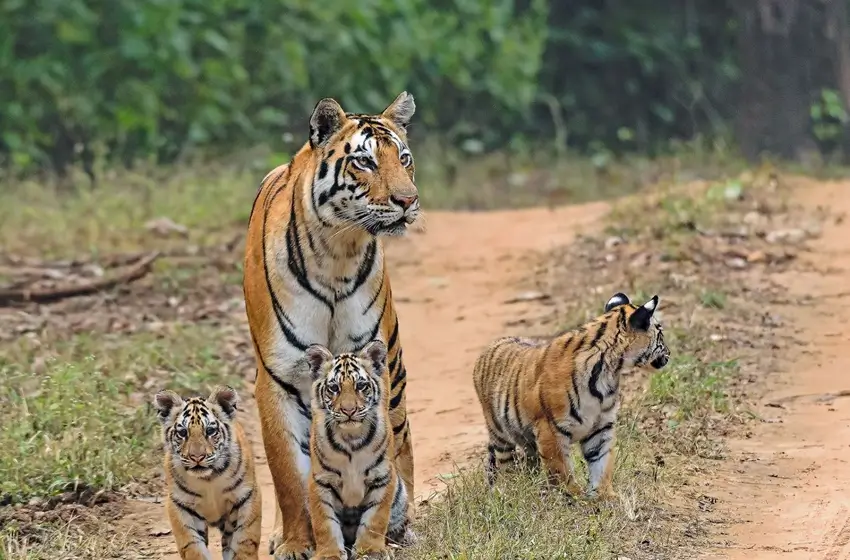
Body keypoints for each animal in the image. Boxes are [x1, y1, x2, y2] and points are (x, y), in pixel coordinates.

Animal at [153, 385, 261, 560]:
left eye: (210, 431)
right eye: (182, 433)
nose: (197, 457)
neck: (208, 479)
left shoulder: (246, 497)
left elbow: (244, 541)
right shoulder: (181, 504)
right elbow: (192, 545)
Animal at [304, 340, 411, 560]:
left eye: (361, 386)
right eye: (334, 388)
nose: (349, 410)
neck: (351, 438)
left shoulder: (382, 476)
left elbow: (374, 519)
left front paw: (370, 551)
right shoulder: (320, 480)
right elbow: (324, 523)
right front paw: (329, 554)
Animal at [472, 292, 670, 499]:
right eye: (660, 334)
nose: (669, 354)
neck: (610, 370)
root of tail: (492, 345)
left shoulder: (601, 426)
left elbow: (602, 462)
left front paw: (604, 495)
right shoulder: (550, 428)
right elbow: (560, 468)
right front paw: (572, 495)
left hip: (526, 440)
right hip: (500, 435)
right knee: (504, 466)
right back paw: (508, 492)